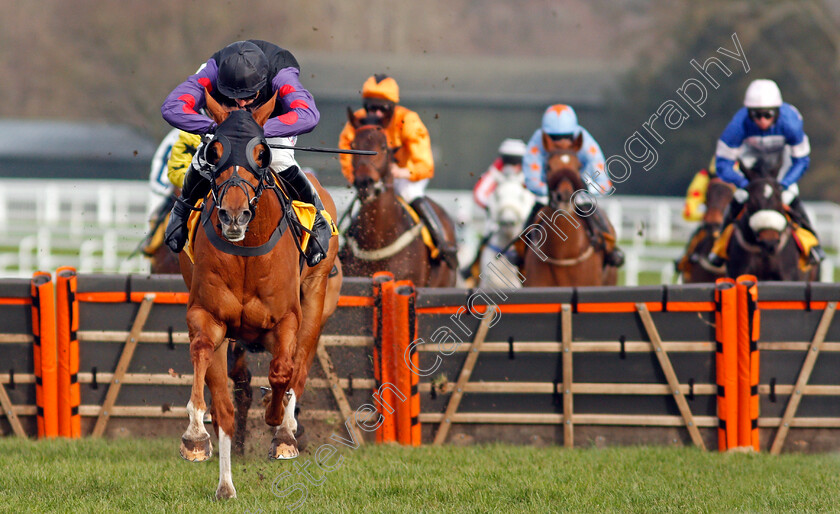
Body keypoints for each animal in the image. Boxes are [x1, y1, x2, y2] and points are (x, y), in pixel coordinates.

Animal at [177, 91, 342, 496]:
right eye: (215, 150)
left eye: (261, 152)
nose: (233, 216)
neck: (246, 252)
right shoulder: (208, 317)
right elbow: (207, 369)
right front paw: (195, 436)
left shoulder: (285, 320)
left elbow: (283, 371)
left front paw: (281, 427)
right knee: (228, 405)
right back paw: (225, 484)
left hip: (316, 299)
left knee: (299, 367)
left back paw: (286, 427)